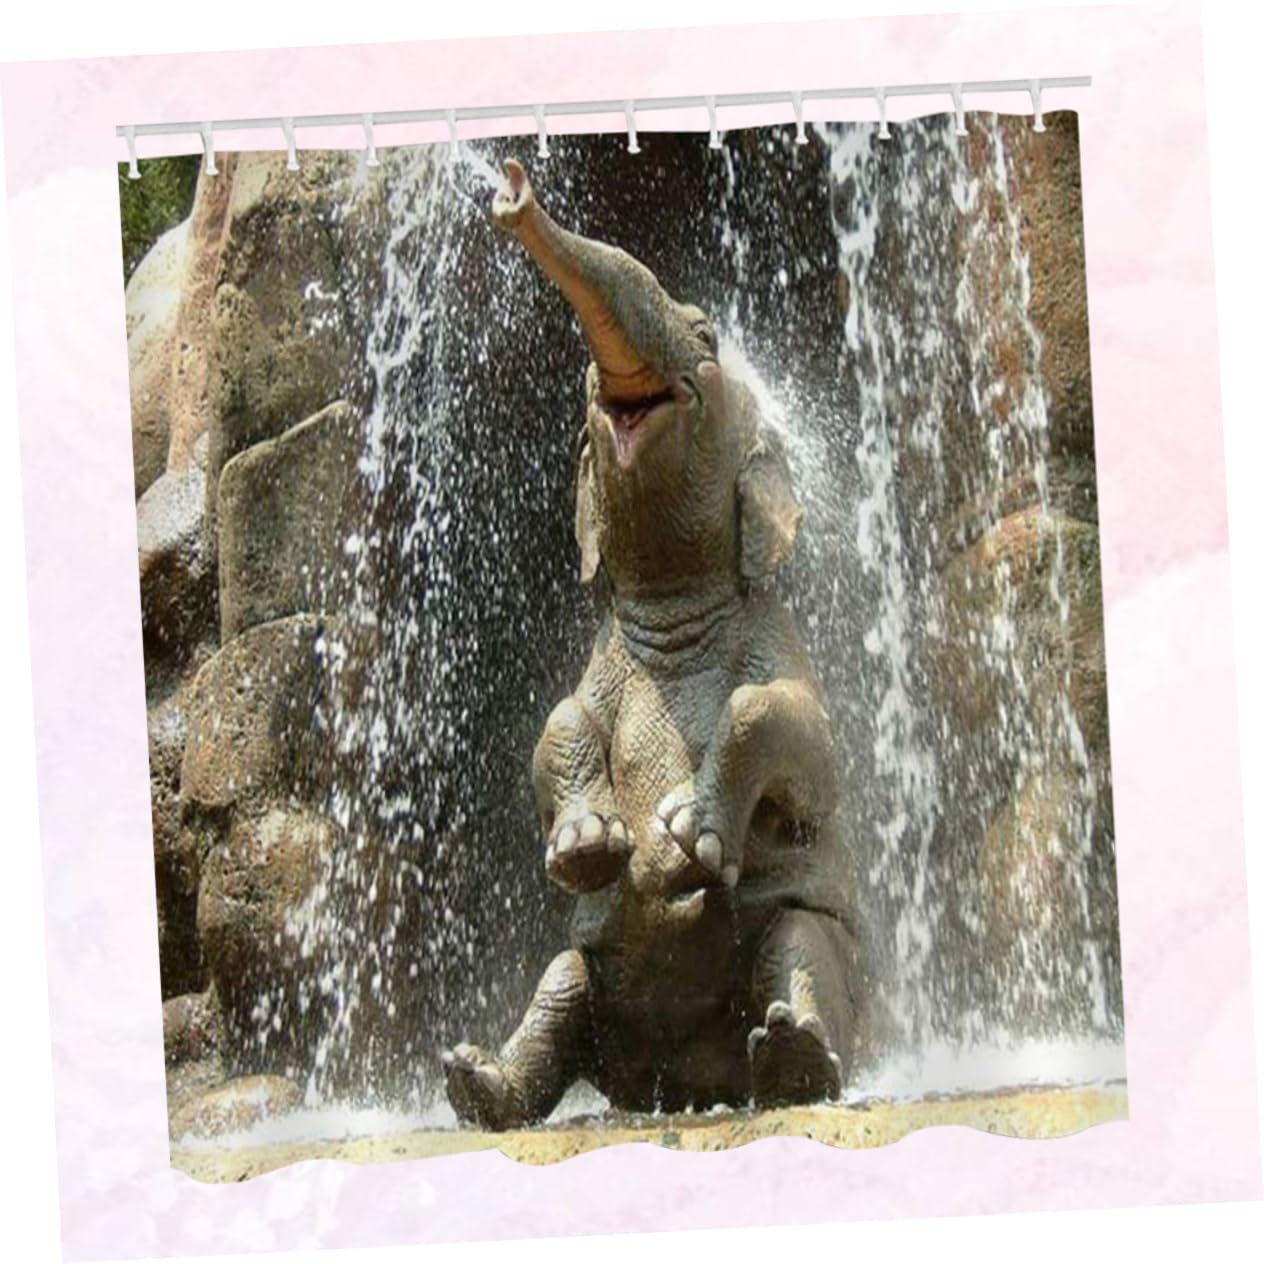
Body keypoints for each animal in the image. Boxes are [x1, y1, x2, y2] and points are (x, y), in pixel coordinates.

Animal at [441, 159, 863, 1128]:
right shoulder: (604, 663)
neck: (676, 609)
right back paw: (476, 1082)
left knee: (802, 942)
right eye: (584, 398)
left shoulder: (773, 634)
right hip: (591, 985)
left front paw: (683, 836)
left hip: (820, 951)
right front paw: (591, 847)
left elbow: (806, 743)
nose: (512, 190)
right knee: (560, 983)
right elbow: (558, 720)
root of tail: (690, 1083)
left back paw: (792, 1062)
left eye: (705, 337)